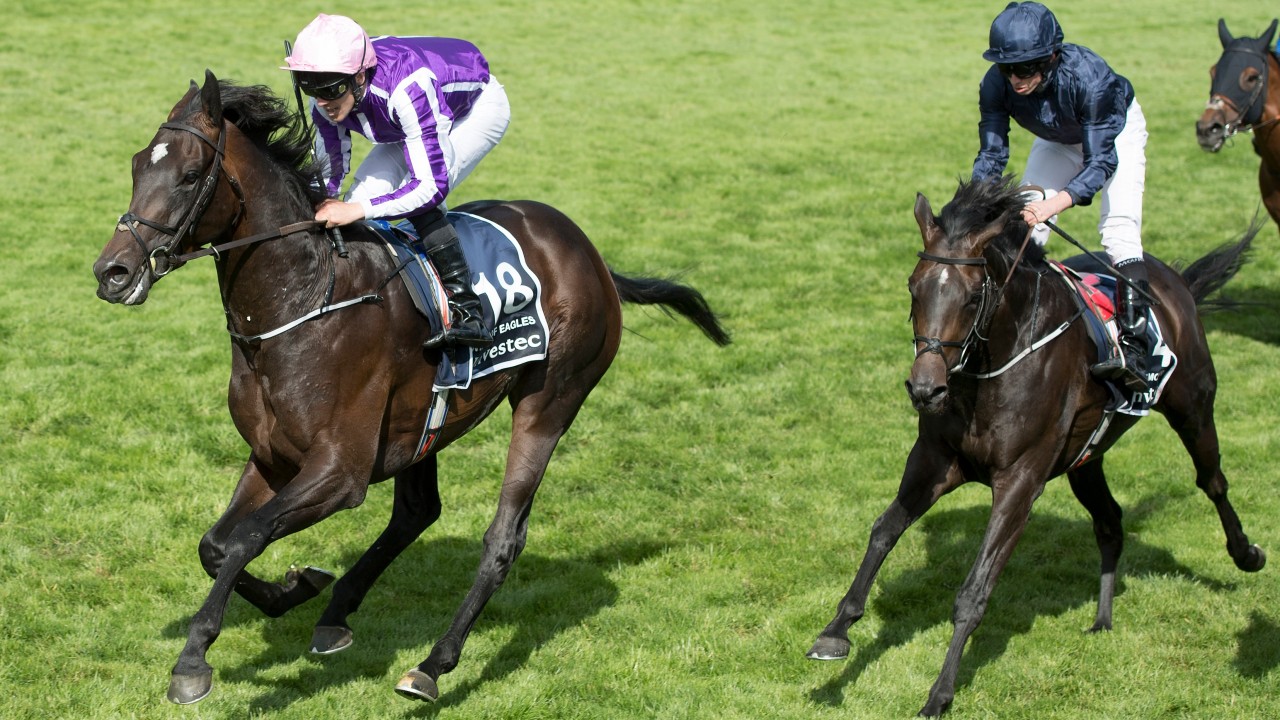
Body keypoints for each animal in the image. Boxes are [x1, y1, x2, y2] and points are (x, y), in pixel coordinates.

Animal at [92, 71, 731, 706]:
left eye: (190, 174)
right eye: (136, 166)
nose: (112, 273)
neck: (304, 301)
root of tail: (590, 252)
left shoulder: (339, 471)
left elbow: (246, 536)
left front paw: (193, 660)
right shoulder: (274, 457)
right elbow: (217, 544)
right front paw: (296, 588)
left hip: (550, 402)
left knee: (503, 539)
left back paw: (432, 665)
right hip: (427, 423)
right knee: (417, 513)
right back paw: (337, 614)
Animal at [806, 177, 1265, 717]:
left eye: (970, 297)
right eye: (913, 287)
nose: (925, 389)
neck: (990, 366)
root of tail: (1175, 283)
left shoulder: (1019, 482)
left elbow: (974, 590)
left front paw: (939, 694)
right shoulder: (936, 461)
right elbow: (883, 531)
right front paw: (836, 633)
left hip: (1193, 405)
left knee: (1211, 480)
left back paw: (1246, 554)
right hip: (1087, 456)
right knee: (1110, 521)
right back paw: (1102, 617)